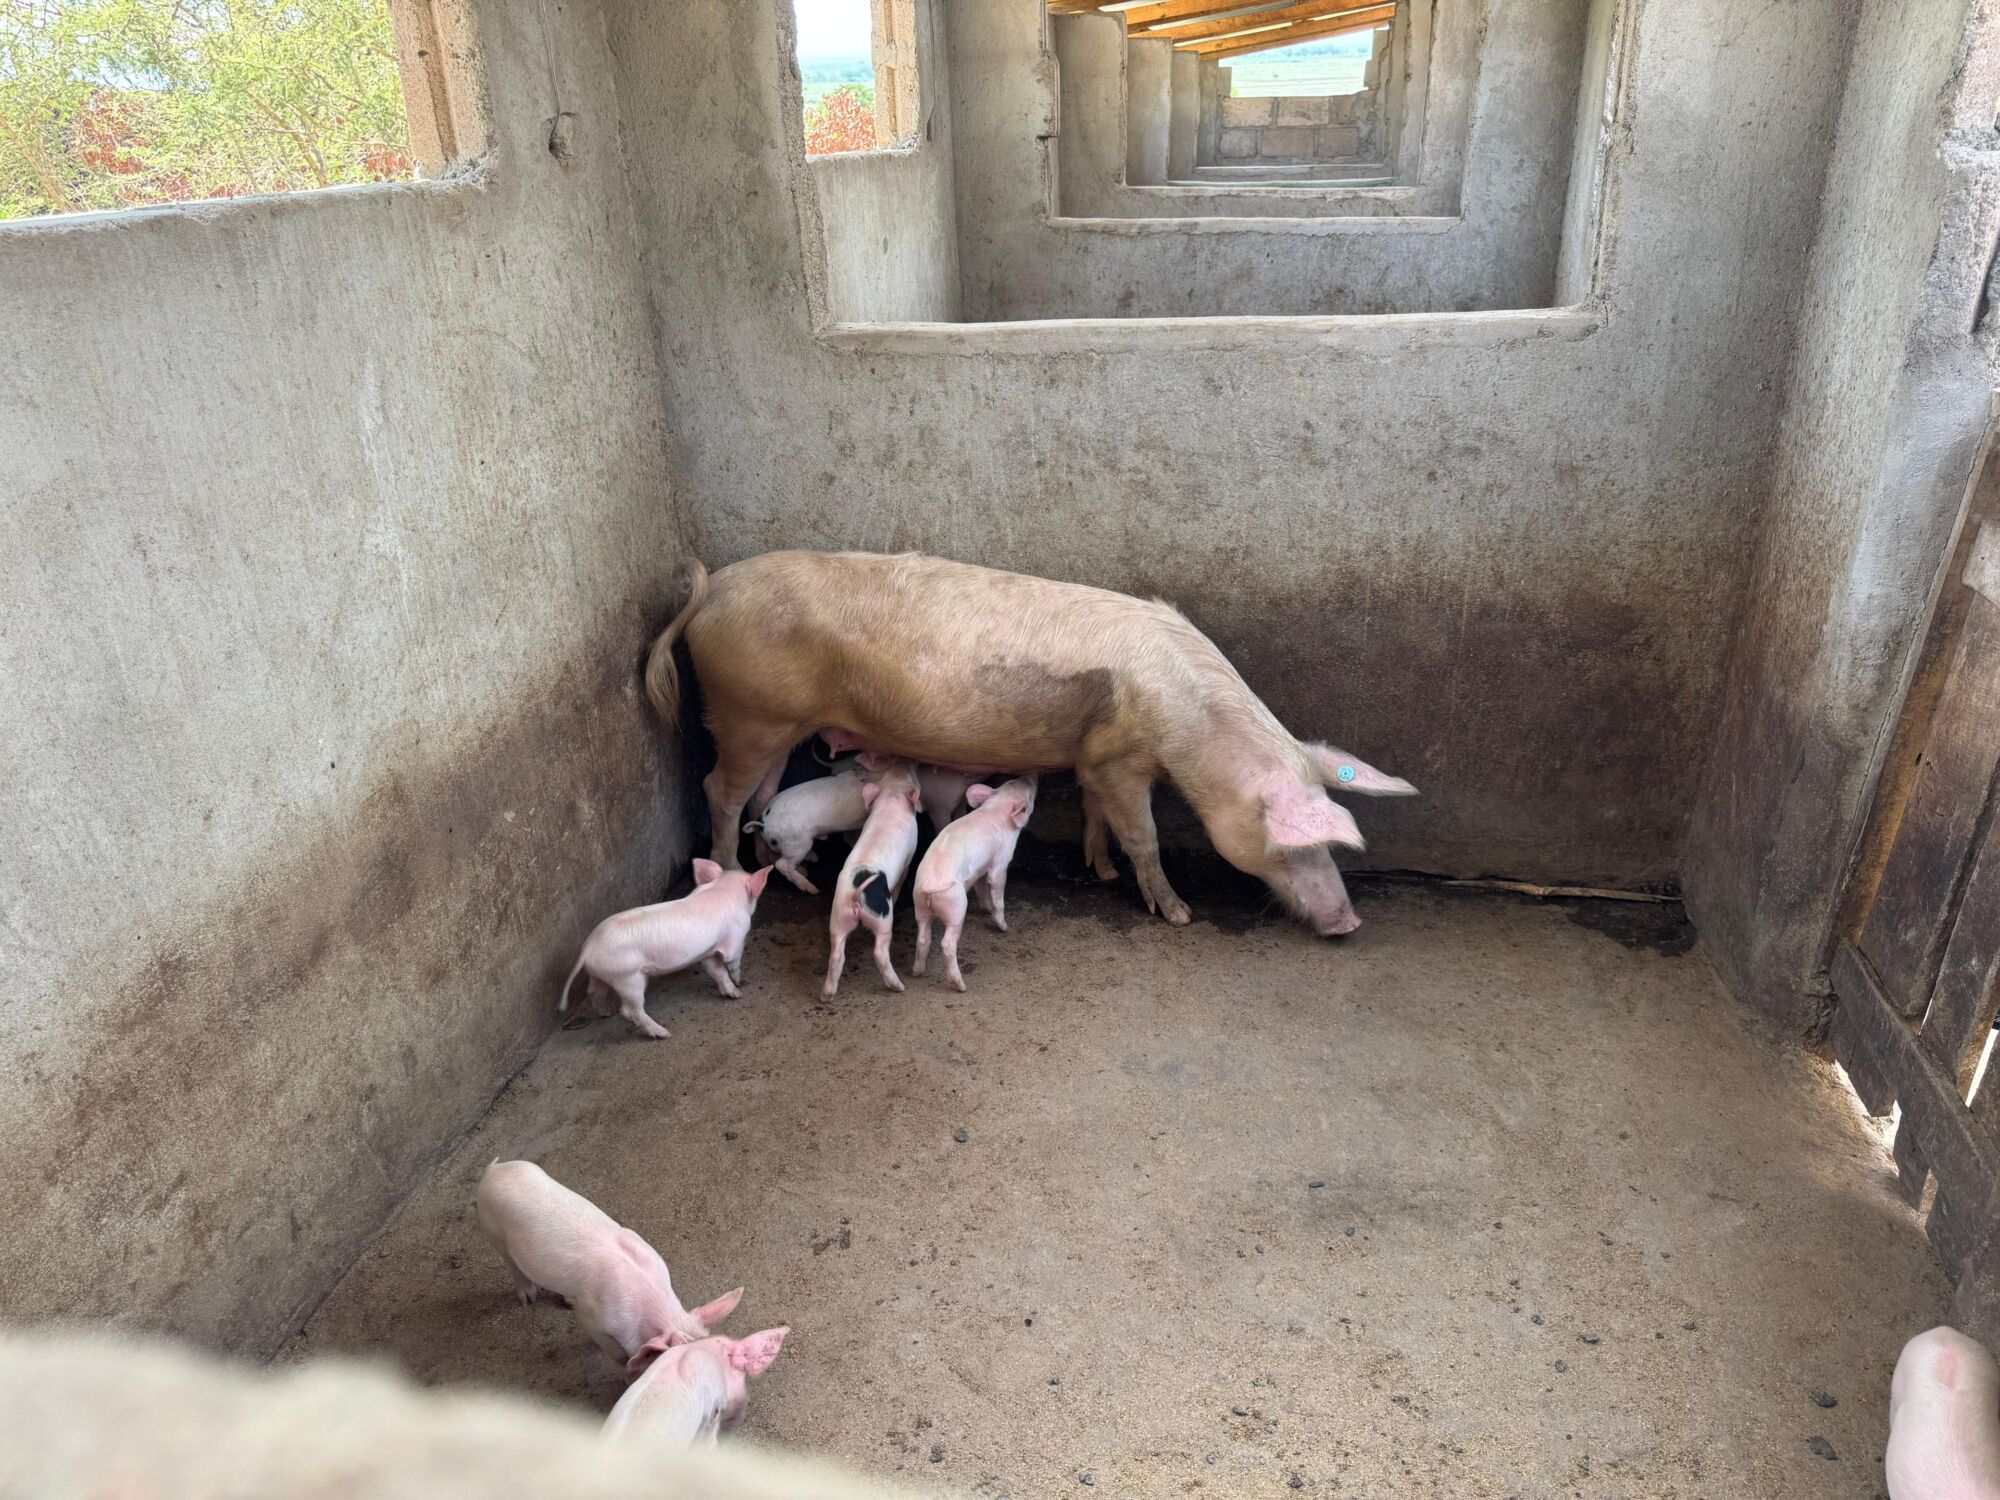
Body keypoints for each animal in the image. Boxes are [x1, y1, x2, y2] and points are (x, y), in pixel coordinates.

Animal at [474, 1160, 743, 1369]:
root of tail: (493, 1169)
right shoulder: (592, 1317)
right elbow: (614, 1354)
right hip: (492, 1231)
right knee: (512, 1264)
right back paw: (528, 1300)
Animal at [559, 860, 773, 1039]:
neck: (723, 887)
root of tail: (588, 948)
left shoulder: (707, 951)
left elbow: (717, 971)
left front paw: (734, 994)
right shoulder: (735, 936)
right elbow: (732, 961)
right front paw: (740, 984)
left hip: (602, 973)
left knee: (594, 991)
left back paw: (605, 1014)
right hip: (627, 977)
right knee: (629, 1010)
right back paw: (663, 1033)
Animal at [823, 760, 924, 998]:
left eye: (889, 772)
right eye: (912, 776)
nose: (903, 761)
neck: (892, 796)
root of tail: (855, 894)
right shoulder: (908, 858)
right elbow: (904, 875)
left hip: (838, 915)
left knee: (836, 952)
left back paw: (826, 996)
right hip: (882, 918)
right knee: (879, 951)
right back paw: (898, 986)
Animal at [913, 777, 1037, 991]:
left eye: (1011, 781)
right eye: (1029, 797)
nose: (1031, 777)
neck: (997, 807)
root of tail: (929, 886)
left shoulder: (980, 868)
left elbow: (981, 888)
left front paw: (985, 910)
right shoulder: (1001, 861)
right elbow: (996, 890)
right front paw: (1004, 927)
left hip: (919, 905)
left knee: (922, 937)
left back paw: (917, 972)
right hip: (956, 904)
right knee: (947, 943)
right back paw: (960, 986)